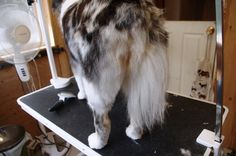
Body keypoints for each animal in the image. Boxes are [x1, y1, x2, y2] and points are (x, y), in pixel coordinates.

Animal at [51, 0, 168, 149]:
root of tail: (134, 10)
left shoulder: (75, 61)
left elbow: (79, 81)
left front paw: (81, 95)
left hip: (97, 82)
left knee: (103, 121)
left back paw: (97, 142)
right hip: (140, 74)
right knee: (136, 108)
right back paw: (134, 132)